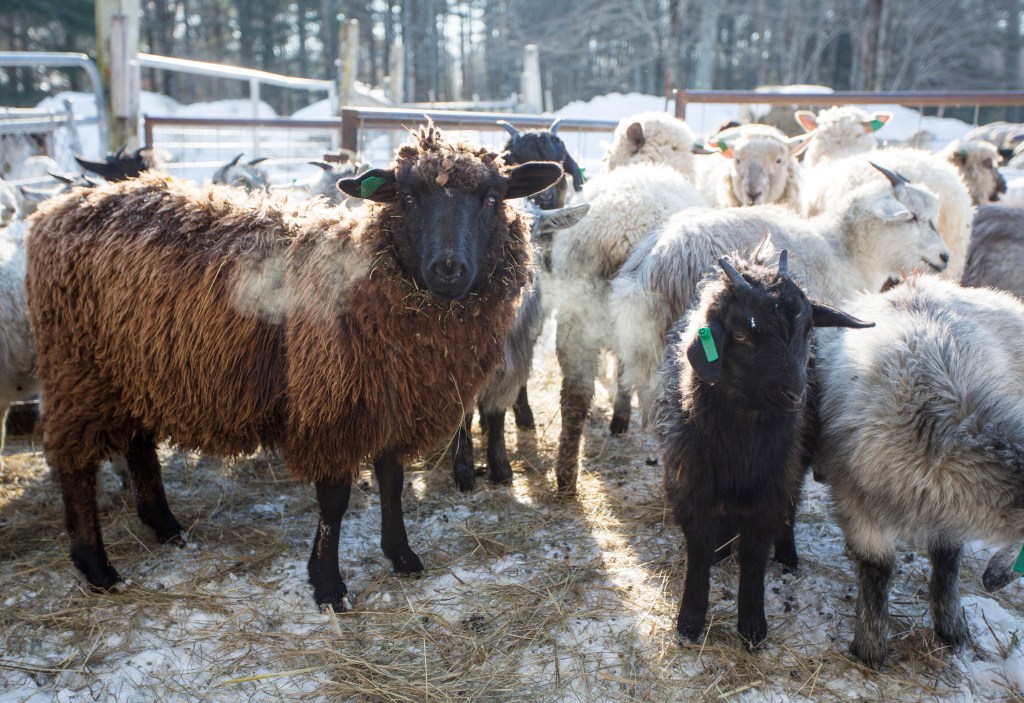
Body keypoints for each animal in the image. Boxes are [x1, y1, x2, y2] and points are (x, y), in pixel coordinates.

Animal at [25, 124, 563, 610]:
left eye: (492, 197)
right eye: (408, 196)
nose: (448, 270)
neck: (372, 283)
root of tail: (56, 211)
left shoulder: (392, 397)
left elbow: (391, 478)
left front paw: (401, 556)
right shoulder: (332, 403)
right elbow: (335, 498)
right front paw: (327, 586)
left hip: (133, 370)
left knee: (138, 446)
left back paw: (167, 527)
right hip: (78, 370)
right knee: (74, 465)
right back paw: (98, 568)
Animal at [451, 202, 590, 490]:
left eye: (536, 234)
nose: (523, 276)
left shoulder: (510, 365)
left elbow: (497, 414)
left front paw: (501, 468)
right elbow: (463, 417)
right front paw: (463, 472)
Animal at [659, 254, 871, 648]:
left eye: (807, 332)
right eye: (742, 334)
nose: (795, 396)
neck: (741, 439)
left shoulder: (770, 486)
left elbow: (755, 554)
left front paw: (753, 627)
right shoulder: (690, 483)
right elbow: (698, 549)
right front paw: (690, 622)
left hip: (794, 465)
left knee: (791, 507)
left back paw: (787, 555)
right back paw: (722, 550)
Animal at [814, 275, 1024, 669]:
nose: (993, 582)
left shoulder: (946, 506)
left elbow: (948, 562)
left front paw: (952, 628)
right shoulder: (856, 498)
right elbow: (878, 567)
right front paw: (870, 649)